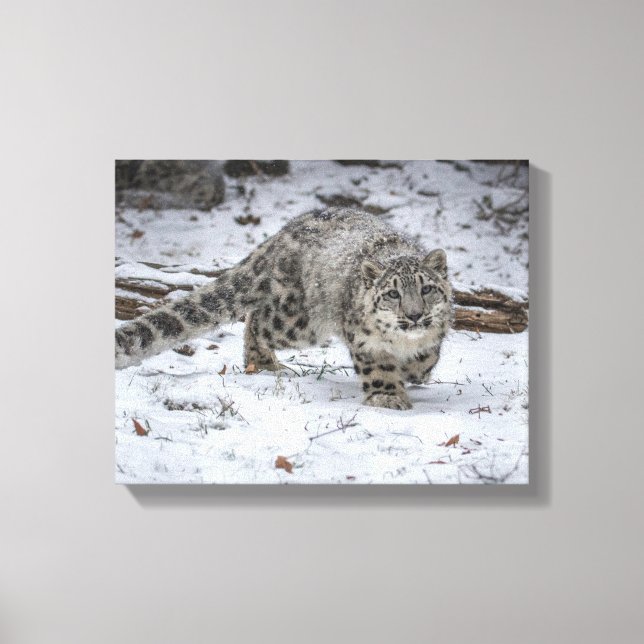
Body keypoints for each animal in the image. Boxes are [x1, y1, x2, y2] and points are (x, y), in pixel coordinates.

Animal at [115, 208, 453, 410]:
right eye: (393, 293)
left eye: (426, 288)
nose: (414, 315)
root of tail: (283, 233)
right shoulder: (364, 340)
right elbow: (379, 367)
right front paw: (387, 397)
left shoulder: (435, 333)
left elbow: (426, 358)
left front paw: (413, 371)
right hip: (298, 321)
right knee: (256, 321)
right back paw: (264, 363)